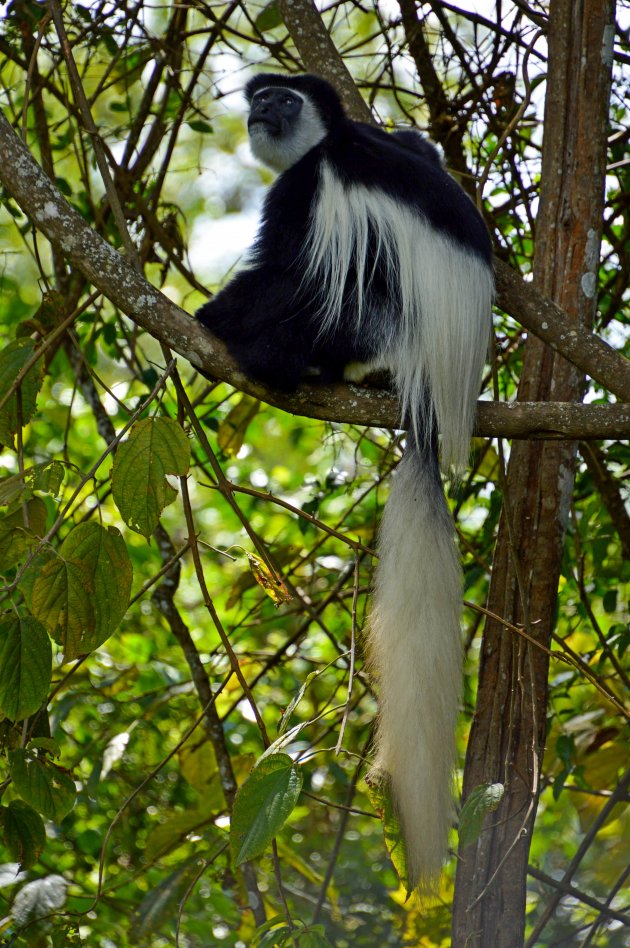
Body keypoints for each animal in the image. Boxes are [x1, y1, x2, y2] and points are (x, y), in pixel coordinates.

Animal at [198, 72, 494, 888]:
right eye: (259, 97)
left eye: (283, 100)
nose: (261, 110)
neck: (336, 137)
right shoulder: (401, 141)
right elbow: (421, 144)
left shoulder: (309, 190)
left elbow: (283, 268)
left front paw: (210, 314)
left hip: (374, 319)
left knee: (322, 291)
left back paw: (275, 358)